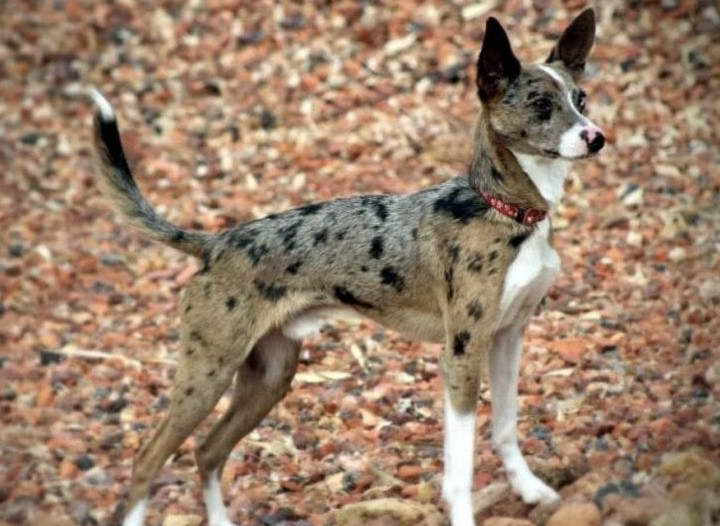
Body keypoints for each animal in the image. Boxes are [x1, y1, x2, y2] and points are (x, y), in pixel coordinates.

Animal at [90, 9, 604, 526]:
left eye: (580, 99)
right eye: (540, 104)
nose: (596, 138)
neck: (504, 211)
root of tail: (215, 244)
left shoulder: (507, 338)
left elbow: (505, 428)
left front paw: (531, 490)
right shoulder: (462, 353)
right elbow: (460, 469)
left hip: (268, 376)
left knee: (207, 452)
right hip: (208, 373)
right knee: (147, 460)